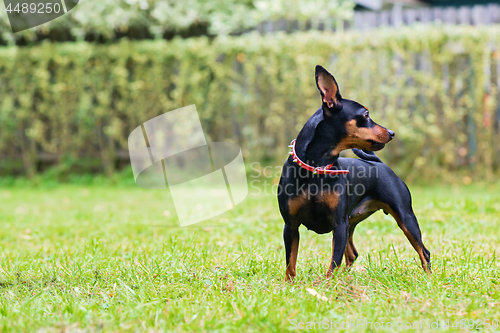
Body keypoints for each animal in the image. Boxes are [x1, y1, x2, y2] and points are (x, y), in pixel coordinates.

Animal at [278, 65, 430, 280]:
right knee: (352, 254)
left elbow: (334, 262)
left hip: (405, 217)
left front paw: (327, 284)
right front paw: (290, 284)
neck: (316, 168)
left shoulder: (339, 224)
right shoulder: (290, 226)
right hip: (352, 222)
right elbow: (290, 262)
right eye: (366, 115)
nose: (392, 133)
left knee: (424, 251)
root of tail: (380, 164)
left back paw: (429, 278)